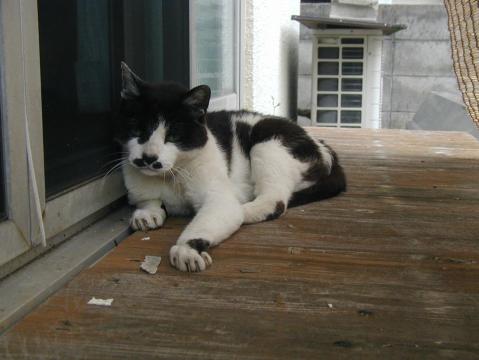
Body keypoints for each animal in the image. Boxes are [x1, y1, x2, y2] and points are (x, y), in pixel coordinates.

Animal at [118, 62, 346, 272]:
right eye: (137, 130)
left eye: (173, 136)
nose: (149, 157)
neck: (171, 176)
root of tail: (322, 145)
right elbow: (148, 200)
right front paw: (146, 213)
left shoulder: (218, 197)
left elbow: (210, 217)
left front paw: (187, 248)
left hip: (266, 138)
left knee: (275, 202)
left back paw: (244, 209)